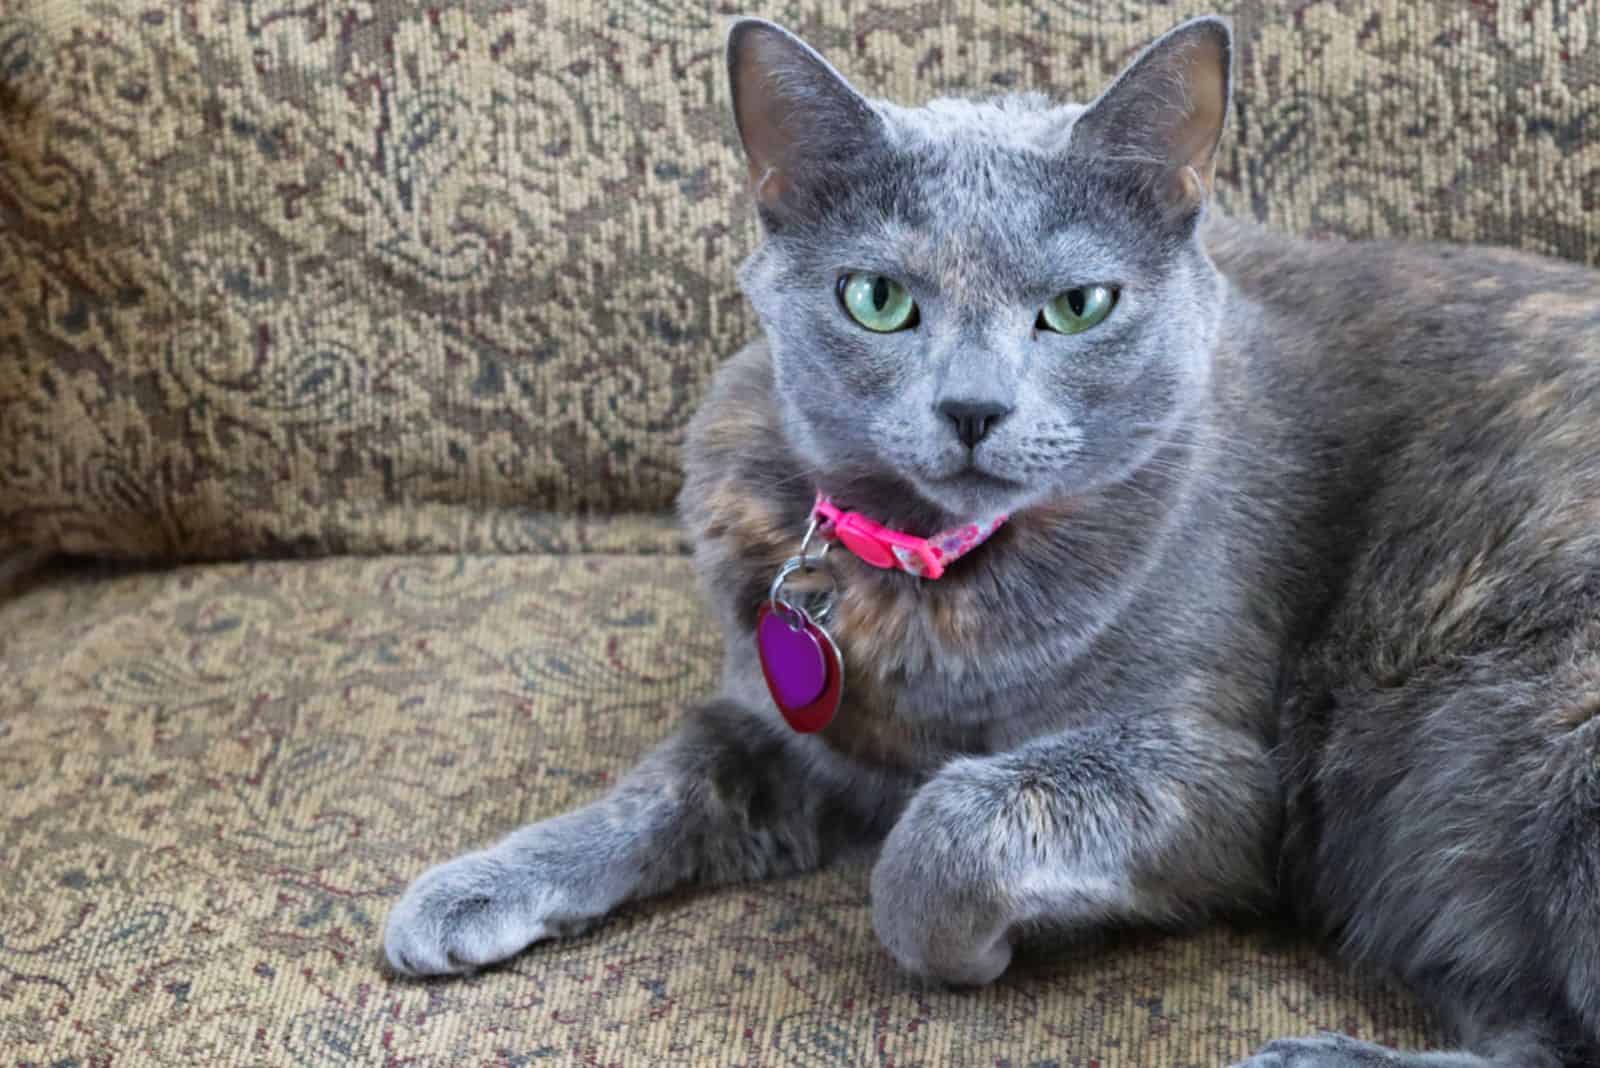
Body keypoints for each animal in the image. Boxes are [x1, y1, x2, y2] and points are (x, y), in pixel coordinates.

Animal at [380, 16, 1600, 1068]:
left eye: (1079, 305)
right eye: (876, 298)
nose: (972, 407)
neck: (934, 582)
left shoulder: (1225, 779)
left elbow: (951, 823)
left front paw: (965, 947)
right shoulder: (790, 724)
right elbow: (666, 781)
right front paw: (471, 887)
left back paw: (1304, 1058)